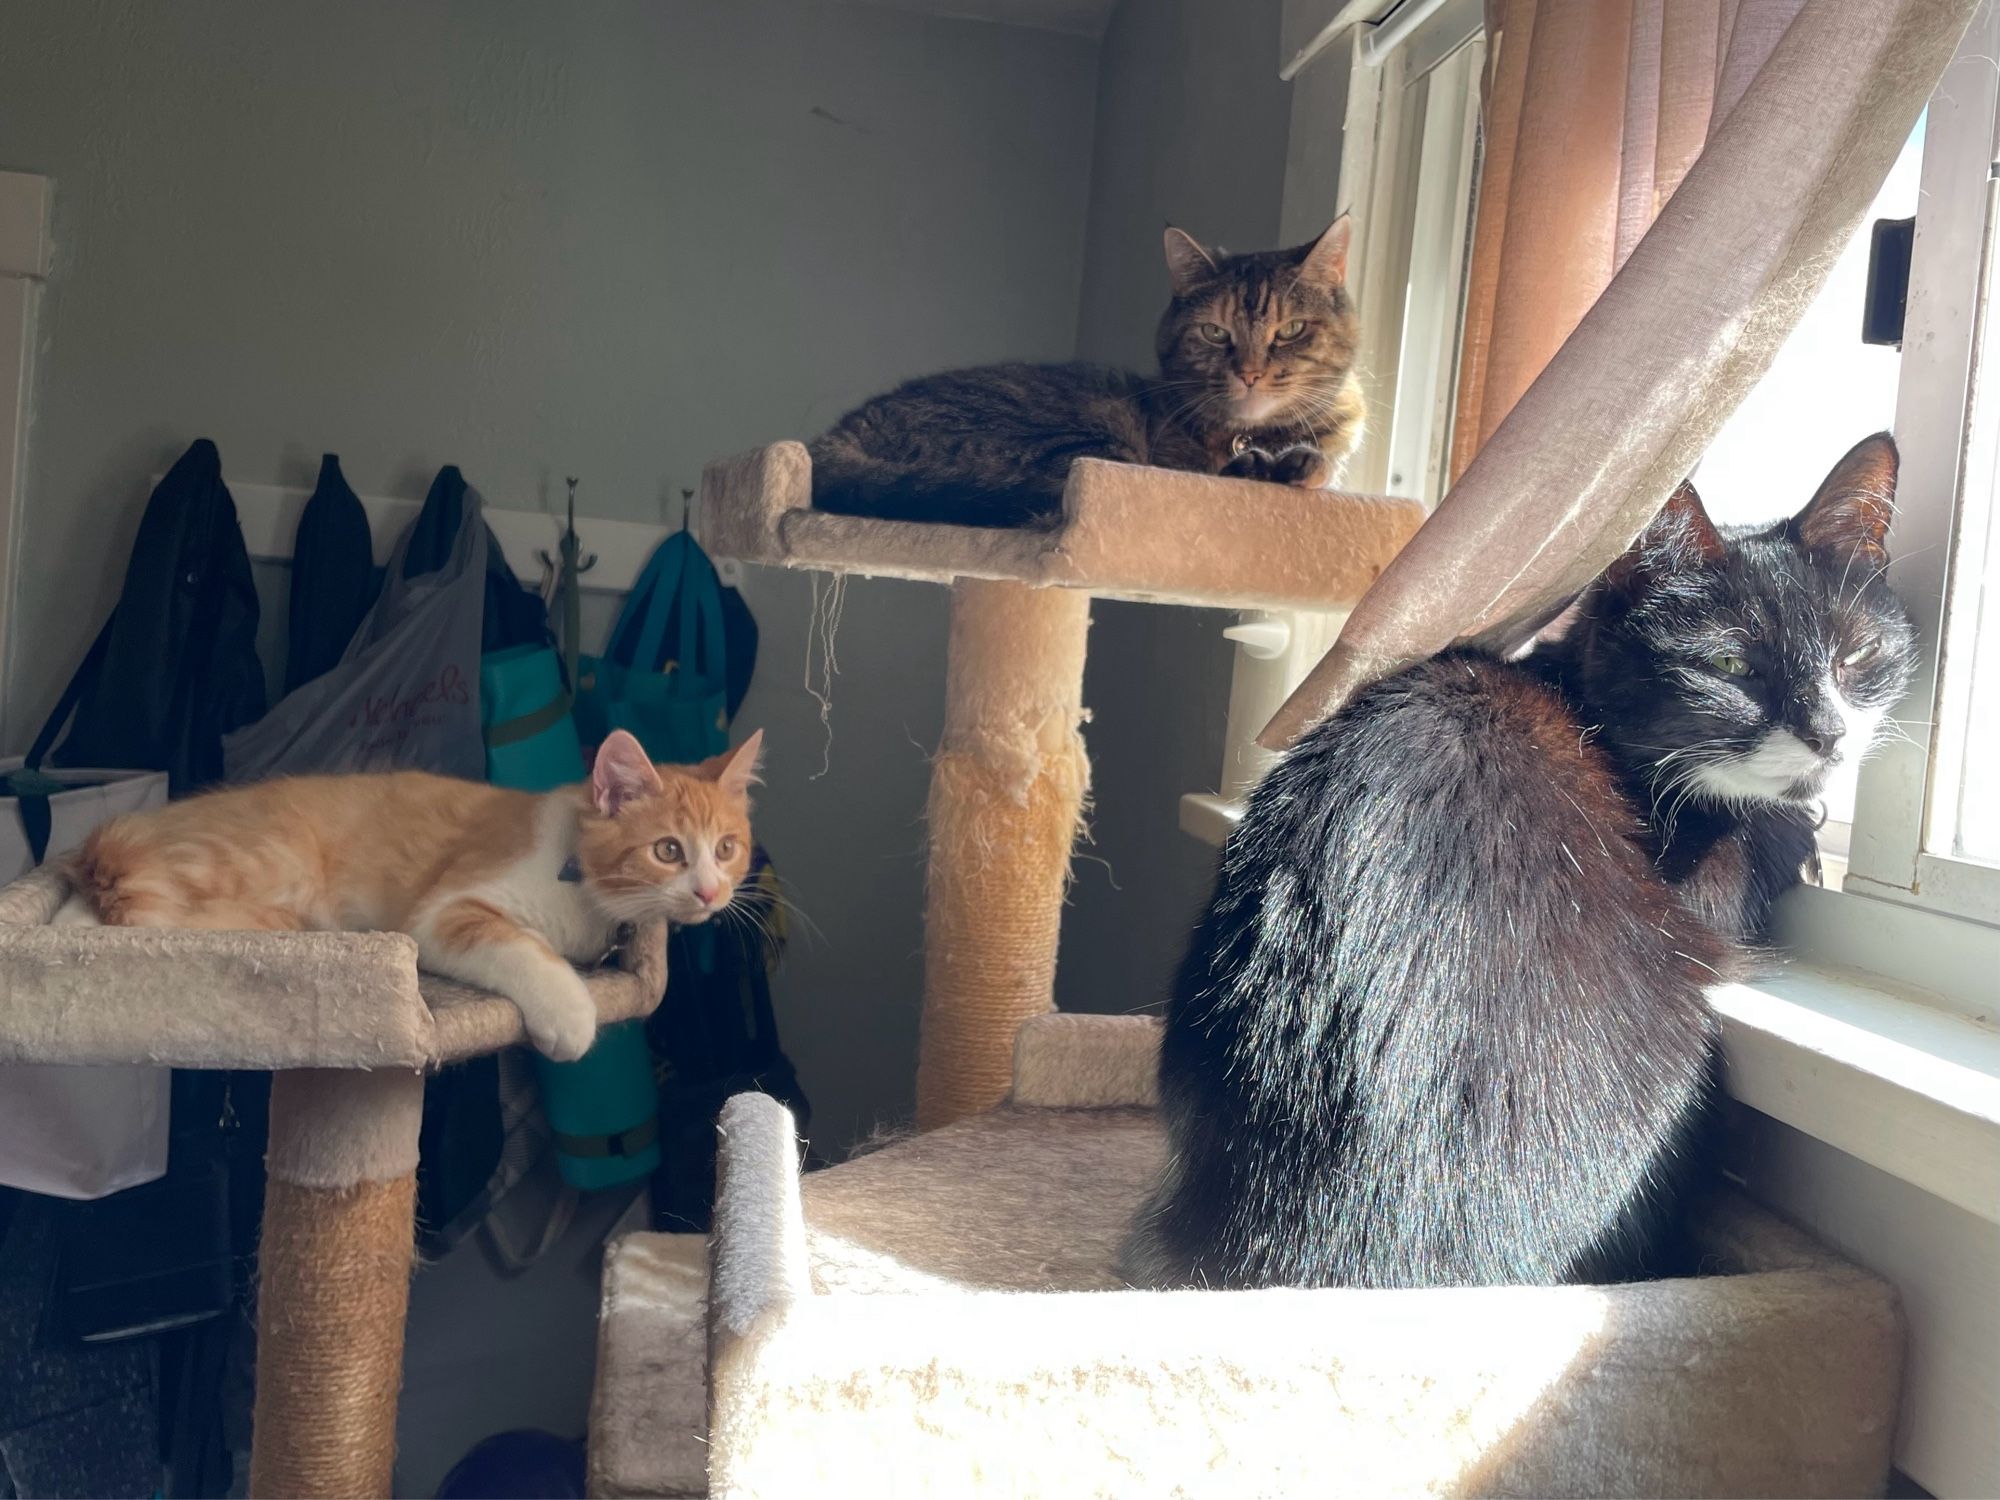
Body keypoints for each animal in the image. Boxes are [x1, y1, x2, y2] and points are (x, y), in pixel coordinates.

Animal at [60, 732, 764, 1064]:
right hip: (265, 856)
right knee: (138, 911)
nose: (709, 891)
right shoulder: (444, 910)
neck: (580, 886)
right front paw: (570, 1013)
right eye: (668, 850)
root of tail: (128, 829)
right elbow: (521, 945)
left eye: (727, 848)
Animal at [808, 220, 1360, 528]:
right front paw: (1272, 466)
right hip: (1085, 444)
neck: (1258, 435)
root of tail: (832, 435)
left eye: (1291, 329)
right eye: (1214, 332)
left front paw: (1300, 463)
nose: (1249, 373)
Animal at [1128, 434, 1920, 1296]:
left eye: (1859, 653)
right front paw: (1798, 828)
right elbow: (1757, 840)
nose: (1828, 735)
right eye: (1730, 665)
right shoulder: (1701, 879)